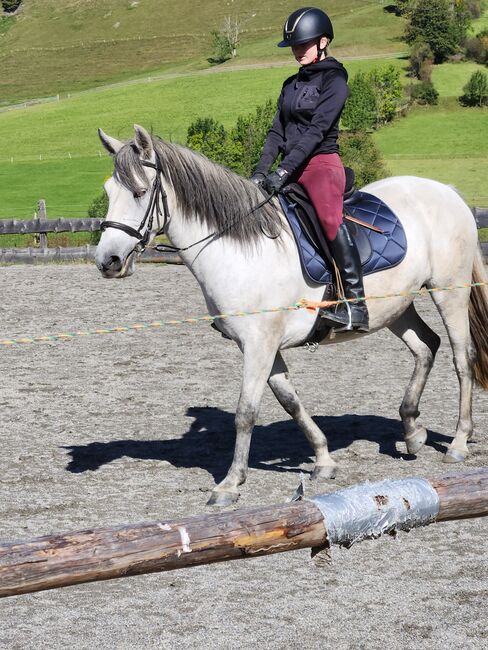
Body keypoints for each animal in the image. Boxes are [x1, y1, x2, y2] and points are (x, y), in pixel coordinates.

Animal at [94, 123, 488, 506]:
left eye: (140, 192)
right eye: (109, 190)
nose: (107, 261)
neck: (238, 248)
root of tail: (446, 192)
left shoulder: (260, 344)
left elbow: (246, 412)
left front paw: (230, 484)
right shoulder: (259, 345)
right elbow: (290, 401)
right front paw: (324, 460)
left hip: (449, 291)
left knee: (461, 357)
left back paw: (457, 442)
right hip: (395, 306)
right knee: (426, 346)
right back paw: (412, 430)